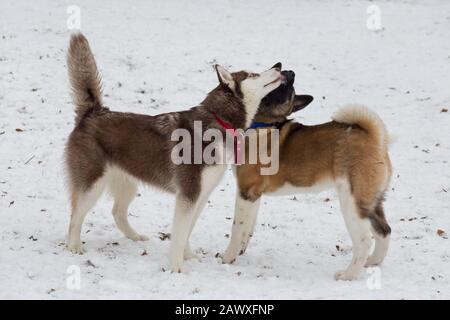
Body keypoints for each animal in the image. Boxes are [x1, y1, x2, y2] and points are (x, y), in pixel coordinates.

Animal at [63, 32, 284, 272]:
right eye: (253, 74)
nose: (279, 66)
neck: (218, 120)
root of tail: (93, 113)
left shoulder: (201, 195)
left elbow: (186, 232)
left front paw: (188, 257)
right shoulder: (188, 194)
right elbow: (179, 234)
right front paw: (177, 268)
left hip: (127, 183)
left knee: (117, 212)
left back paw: (135, 237)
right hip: (92, 184)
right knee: (75, 215)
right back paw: (73, 246)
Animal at [223, 70, 392, 280]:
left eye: (287, 91)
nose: (289, 72)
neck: (262, 126)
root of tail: (374, 138)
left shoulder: (246, 191)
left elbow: (237, 227)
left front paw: (227, 257)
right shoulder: (253, 195)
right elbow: (248, 226)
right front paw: (240, 251)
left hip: (352, 202)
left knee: (364, 240)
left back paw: (348, 274)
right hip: (371, 201)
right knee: (384, 231)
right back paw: (373, 262)